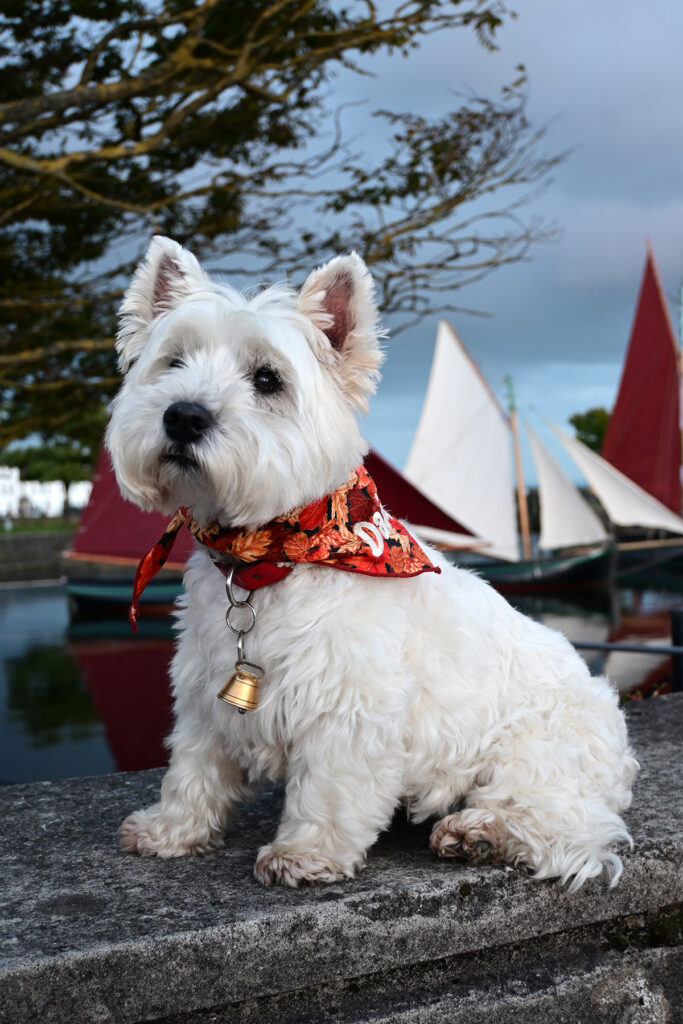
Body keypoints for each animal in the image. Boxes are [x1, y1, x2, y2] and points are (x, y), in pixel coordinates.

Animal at [107, 237, 634, 888]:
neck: (267, 558)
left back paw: (479, 831)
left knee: (565, 826)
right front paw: (170, 830)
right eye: (174, 362)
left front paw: (304, 853)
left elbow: (329, 791)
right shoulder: (204, 692)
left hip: (538, 751)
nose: (182, 416)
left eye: (267, 379)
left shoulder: (349, 707)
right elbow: (194, 768)